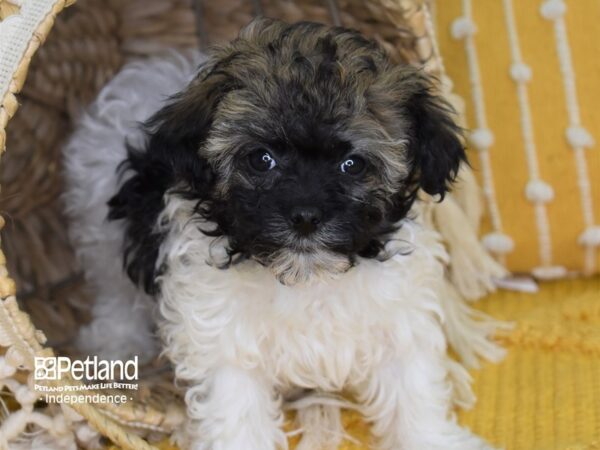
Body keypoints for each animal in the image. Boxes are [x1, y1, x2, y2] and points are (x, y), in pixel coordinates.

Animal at [63, 18, 504, 450]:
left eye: (352, 164)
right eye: (262, 159)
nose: (305, 217)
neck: (306, 277)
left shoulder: (399, 319)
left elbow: (413, 392)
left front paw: (432, 438)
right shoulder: (224, 344)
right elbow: (236, 412)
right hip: (99, 224)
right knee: (114, 293)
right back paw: (115, 345)